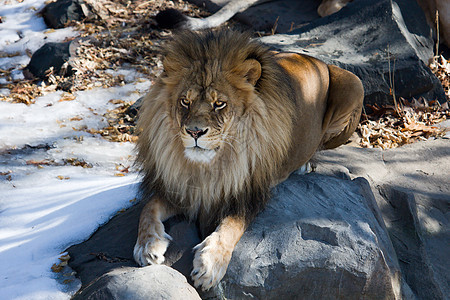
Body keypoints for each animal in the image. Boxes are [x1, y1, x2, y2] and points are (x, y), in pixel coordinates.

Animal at [132, 30, 364, 290]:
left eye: (219, 103)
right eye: (185, 101)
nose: (194, 132)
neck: (208, 166)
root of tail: (317, 60)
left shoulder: (248, 193)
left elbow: (231, 227)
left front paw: (210, 264)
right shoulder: (181, 188)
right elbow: (148, 208)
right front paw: (147, 245)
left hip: (354, 83)